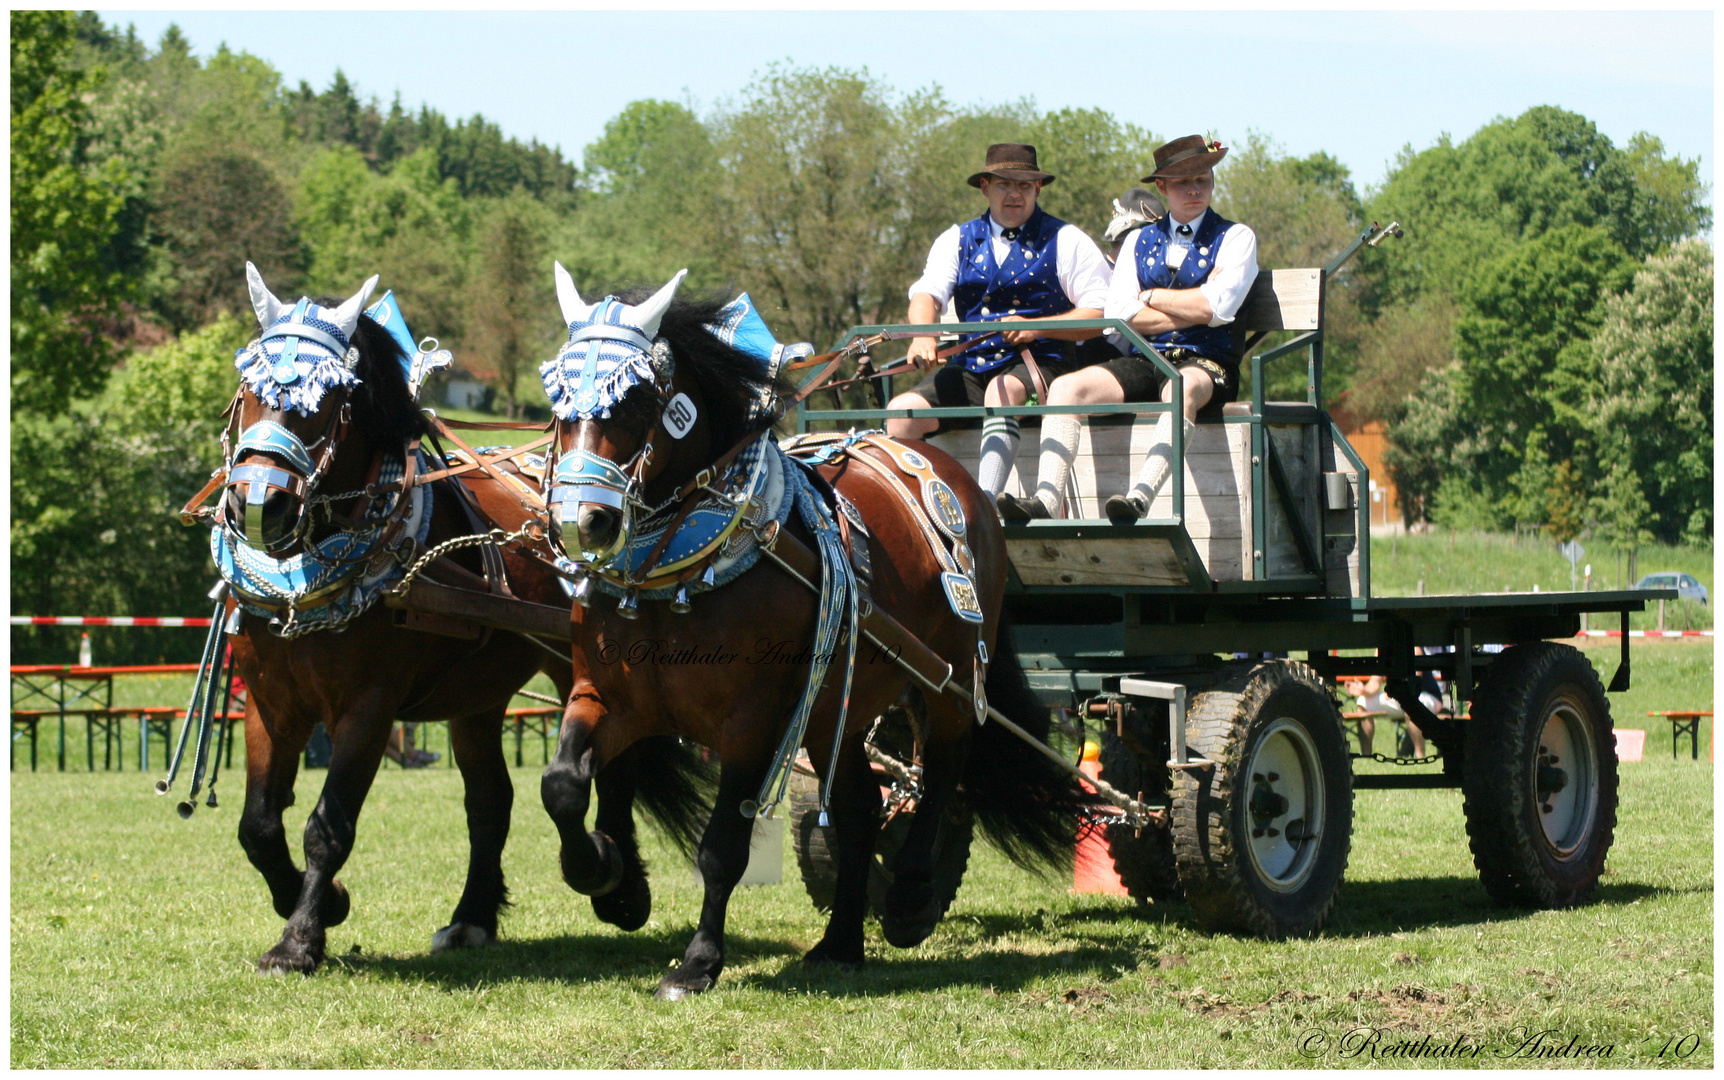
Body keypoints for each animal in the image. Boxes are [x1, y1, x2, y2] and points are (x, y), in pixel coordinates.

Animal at [208, 265, 706, 973]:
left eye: (324, 406)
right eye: (248, 393)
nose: (258, 504)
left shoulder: (368, 707)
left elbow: (327, 826)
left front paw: (300, 937)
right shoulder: (272, 700)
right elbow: (257, 824)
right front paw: (323, 903)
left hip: (578, 664)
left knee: (613, 767)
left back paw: (617, 887)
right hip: (476, 696)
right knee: (490, 803)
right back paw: (472, 916)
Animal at [537, 269, 1089, 993]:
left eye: (634, 397)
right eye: (558, 397)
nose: (584, 522)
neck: (679, 569)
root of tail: (956, 476)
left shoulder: (752, 723)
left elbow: (722, 849)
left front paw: (698, 961)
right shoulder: (605, 696)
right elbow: (562, 784)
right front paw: (606, 878)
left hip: (947, 672)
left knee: (945, 763)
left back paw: (909, 897)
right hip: (839, 706)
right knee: (859, 808)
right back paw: (842, 940)